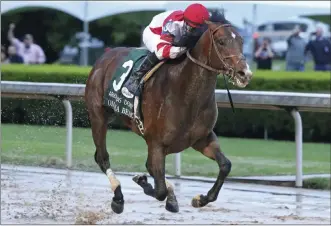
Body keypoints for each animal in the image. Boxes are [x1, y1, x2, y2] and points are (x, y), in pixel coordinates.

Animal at [84, 19, 253, 214]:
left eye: (241, 41)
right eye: (221, 42)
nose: (244, 73)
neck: (186, 92)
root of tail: (105, 56)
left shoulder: (201, 138)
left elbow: (225, 165)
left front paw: (201, 199)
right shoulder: (157, 143)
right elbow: (160, 190)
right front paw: (146, 184)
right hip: (98, 117)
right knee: (102, 157)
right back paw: (118, 198)